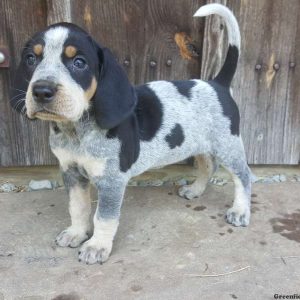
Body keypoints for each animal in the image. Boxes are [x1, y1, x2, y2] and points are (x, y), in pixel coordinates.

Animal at [9, 3, 251, 264]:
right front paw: (77, 233)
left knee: (244, 176)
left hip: (227, 145)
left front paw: (96, 246)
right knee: (209, 166)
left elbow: (104, 217)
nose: (41, 91)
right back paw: (195, 190)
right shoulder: (71, 172)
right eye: (31, 58)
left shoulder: (112, 180)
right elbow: (78, 207)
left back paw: (240, 211)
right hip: (201, 144)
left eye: (79, 63)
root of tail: (217, 84)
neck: (77, 131)